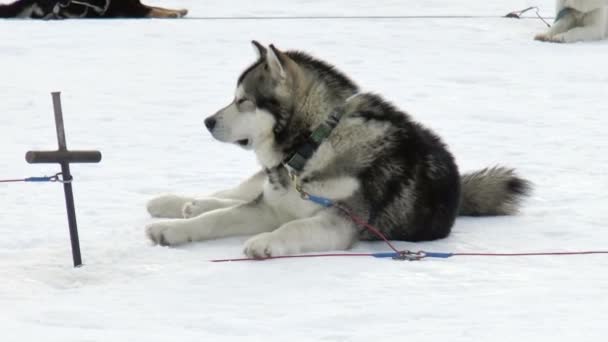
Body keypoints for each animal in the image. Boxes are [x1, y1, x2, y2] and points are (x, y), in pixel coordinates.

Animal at [145, 41, 528, 258]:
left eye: (243, 101)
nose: (207, 121)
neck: (315, 144)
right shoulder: (271, 205)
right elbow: (218, 217)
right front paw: (173, 230)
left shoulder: (339, 219)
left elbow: (292, 228)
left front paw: (265, 242)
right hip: (262, 185)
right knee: (231, 194)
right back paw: (179, 204)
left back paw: (188, 206)